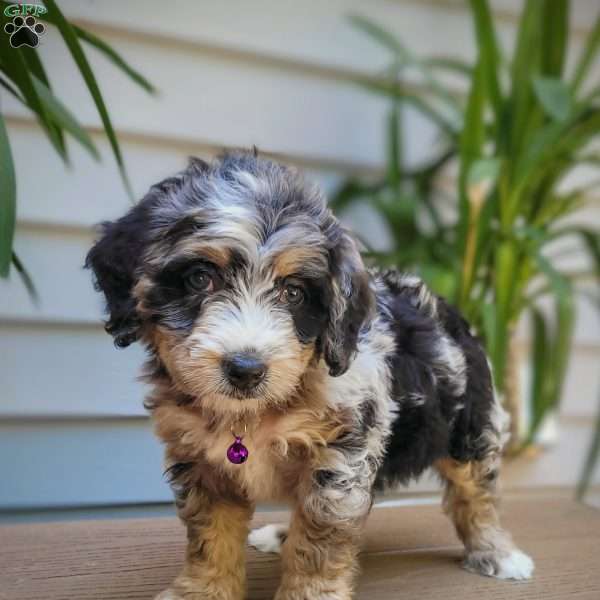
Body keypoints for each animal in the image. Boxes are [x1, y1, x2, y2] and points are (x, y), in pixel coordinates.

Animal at [86, 151, 532, 600]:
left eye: (294, 293)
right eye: (199, 278)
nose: (245, 370)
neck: (253, 414)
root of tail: (450, 312)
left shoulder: (340, 456)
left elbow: (320, 538)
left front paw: (309, 591)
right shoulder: (201, 462)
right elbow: (210, 537)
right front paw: (201, 591)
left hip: (471, 427)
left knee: (476, 492)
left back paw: (496, 552)